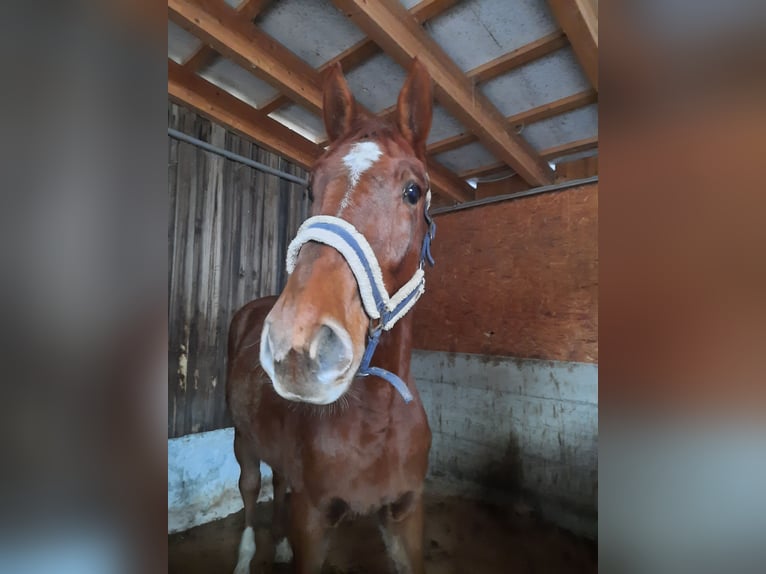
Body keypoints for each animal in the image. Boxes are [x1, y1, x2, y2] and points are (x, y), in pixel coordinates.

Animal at [225, 59, 436, 574]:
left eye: (413, 191)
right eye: (309, 186)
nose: (297, 343)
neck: (376, 420)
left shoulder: (406, 516)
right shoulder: (313, 519)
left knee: (278, 481)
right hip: (242, 440)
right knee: (250, 490)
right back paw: (246, 555)